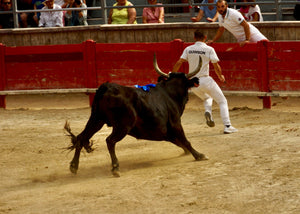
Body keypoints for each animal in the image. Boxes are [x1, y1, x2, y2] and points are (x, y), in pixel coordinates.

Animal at [64, 55, 207, 177]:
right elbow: (185, 140)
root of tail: (106, 87)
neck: (170, 93)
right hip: (123, 125)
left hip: (96, 120)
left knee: (81, 138)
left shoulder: (165, 133)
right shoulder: (176, 123)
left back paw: (74, 166)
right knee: (110, 141)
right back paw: (115, 167)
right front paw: (199, 155)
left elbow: (180, 142)